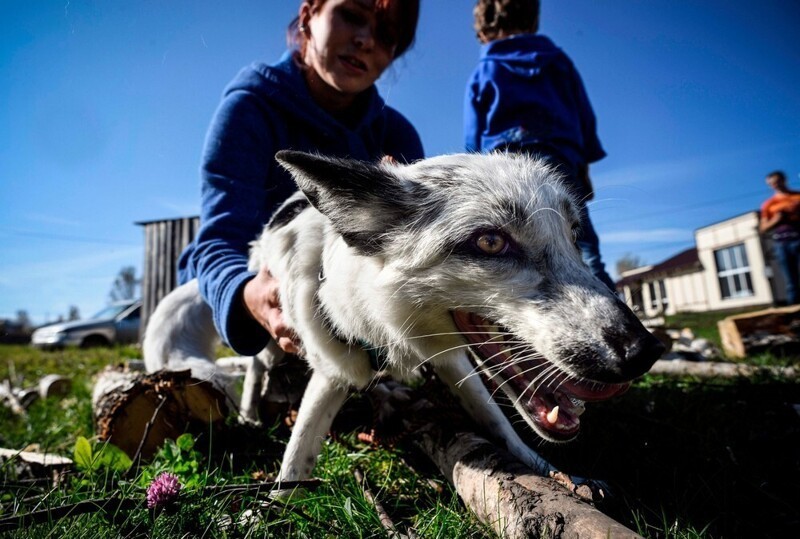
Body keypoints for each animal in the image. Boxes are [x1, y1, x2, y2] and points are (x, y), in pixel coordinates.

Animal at [142, 152, 664, 486]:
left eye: (574, 234)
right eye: (490, 242)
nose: (644, 351)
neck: (387, 328)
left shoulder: (456, 363)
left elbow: (500, 425)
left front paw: (549, 472)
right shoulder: (331, 374)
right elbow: (296, 460)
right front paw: (274, 511)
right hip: (273, 336)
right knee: (256, 366)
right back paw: (252, 411)